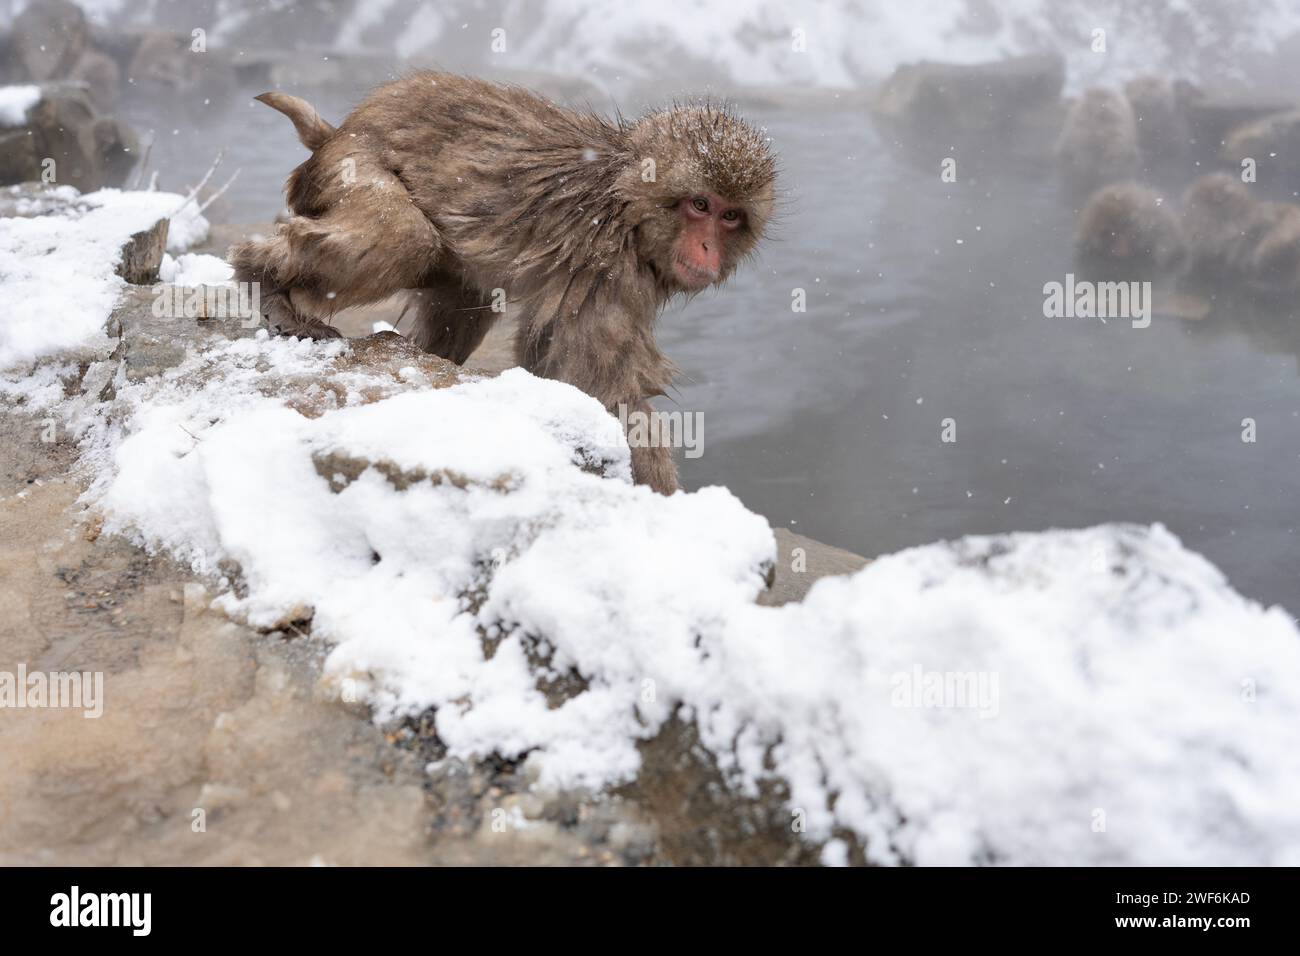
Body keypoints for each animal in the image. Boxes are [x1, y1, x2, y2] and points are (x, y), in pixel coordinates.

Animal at [230, 70, 774, 494]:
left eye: (729, 216)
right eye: (699, 205)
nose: (707, 251)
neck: (628, 205)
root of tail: (340, 131)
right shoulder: (608, 268)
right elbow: (605, 391)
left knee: (462, 292)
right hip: (354, 171)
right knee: (405, 239)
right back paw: (261, 275)